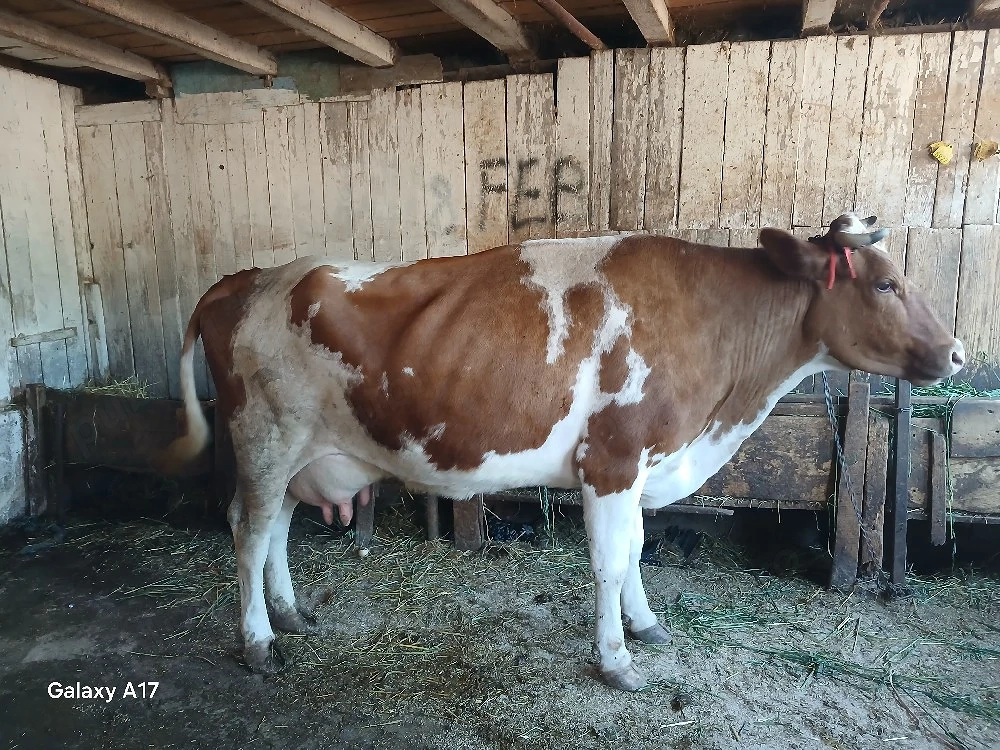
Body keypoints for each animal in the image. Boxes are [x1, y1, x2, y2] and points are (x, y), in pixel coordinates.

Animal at [161, 214, 964, 691]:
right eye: (887, 283)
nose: (957, 353)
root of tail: (248, 278)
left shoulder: (640, 465)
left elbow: (636, 549)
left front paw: (646, 624)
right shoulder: (613, 459)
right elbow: (609, 561)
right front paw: (616, 659)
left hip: (303, 450)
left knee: (276, 527)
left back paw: (291, 613)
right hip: (266, 436)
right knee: (246, 528)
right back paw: (258, 641)